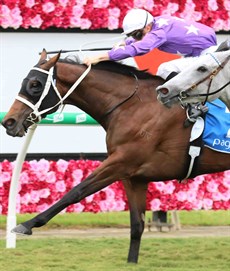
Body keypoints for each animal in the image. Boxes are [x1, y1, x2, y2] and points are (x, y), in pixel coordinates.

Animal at [1, 49, 230, 264]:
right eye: (25, 82)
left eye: (35, 84)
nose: (9, 122)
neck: (132, 106)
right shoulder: (135, 177)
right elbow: (137, 225)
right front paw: (131, 262)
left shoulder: (120, 163)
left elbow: (76, 191)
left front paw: (26, 225)